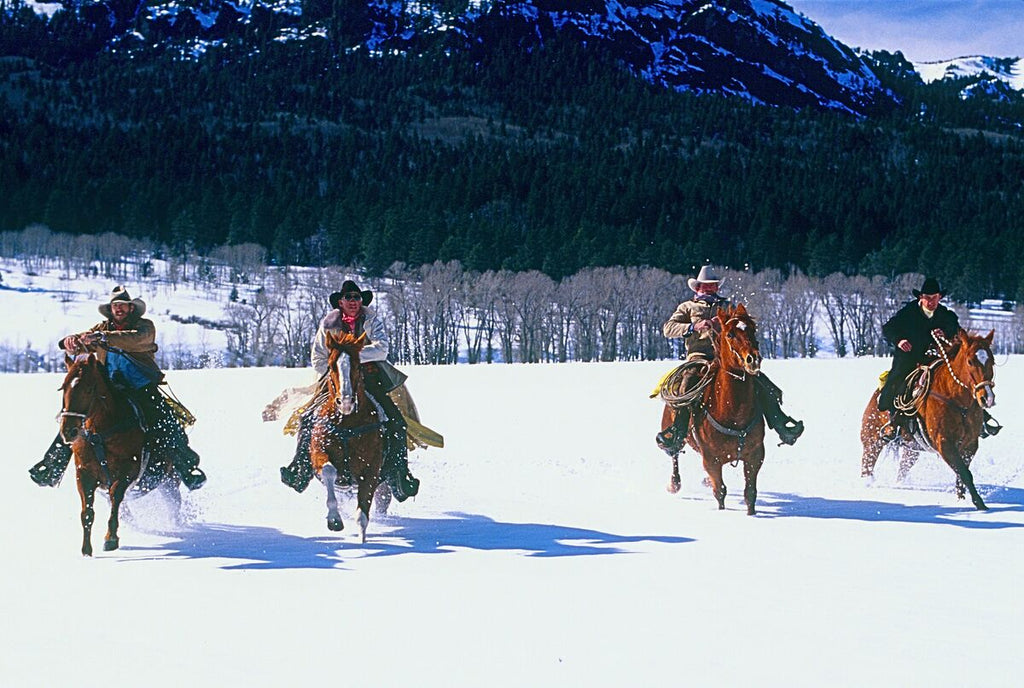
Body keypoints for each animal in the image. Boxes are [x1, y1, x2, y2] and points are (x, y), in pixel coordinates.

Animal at [58, 352, 148, 556]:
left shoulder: (129, 469)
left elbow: (116, 496)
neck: (100, 433)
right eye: (63, 387)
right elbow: (87, 513)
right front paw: (86, 550)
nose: (68, 431)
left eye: (89, 389)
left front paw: (111, 538)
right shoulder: (83, 473)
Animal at [309, 329, 385, 540]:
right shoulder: (318, 452)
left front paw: (362, 539)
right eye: (330, 365)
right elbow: (328, 471)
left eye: (358, 365)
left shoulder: (372, 468)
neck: (347, 425)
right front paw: (334, 519)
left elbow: (363, 514)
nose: (345, 402)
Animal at [663, 303, 770, 513]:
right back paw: (674, 484)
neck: (733, 413)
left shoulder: (755, 456)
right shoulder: (712, 460)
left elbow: (750, 493)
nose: (753, 359)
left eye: (753, 329)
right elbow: (720, 492)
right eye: (730, 334)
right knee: (674, 454)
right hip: (672, 434)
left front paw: (751, 514)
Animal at [860, 327, 995, 509]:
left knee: (902, 469)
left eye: (992, 361)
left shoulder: (970, 445)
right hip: (872, 441)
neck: (956, 401)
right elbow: (964, 473)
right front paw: (979, 503)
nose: (987, 398)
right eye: (970, 361)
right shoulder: (944, 443)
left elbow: (962, 474)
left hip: (911, 449)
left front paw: (962, 498)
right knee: (867, 466)